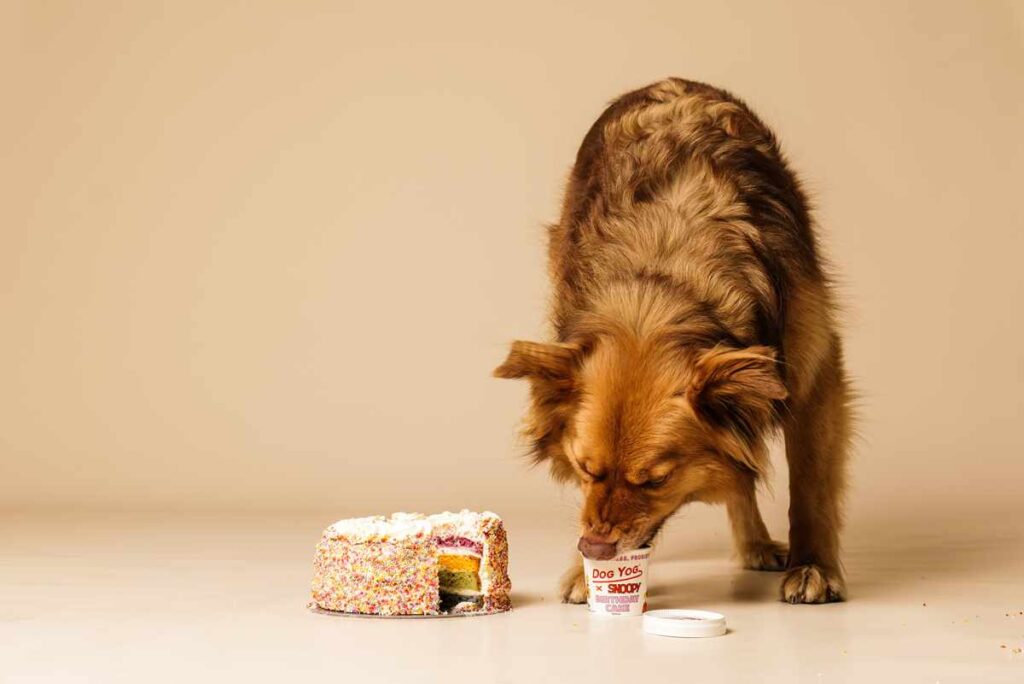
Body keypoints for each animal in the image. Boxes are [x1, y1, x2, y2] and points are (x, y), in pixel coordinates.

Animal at [491, 78, 851, 602]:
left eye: (656, 480)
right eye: (585, 469)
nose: (595, 550)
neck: (662, 286)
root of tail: (670, 82)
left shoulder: (813, 374)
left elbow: (810, 485)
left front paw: (814, 565)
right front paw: (584, 574)